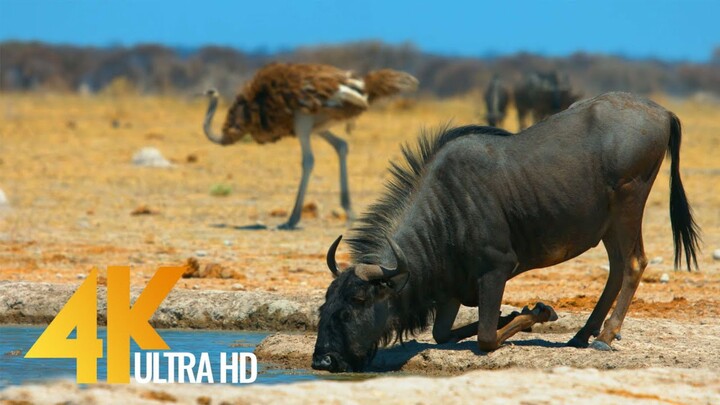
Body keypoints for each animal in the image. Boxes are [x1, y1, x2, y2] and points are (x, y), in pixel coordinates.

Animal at [201, 62, 416, 229]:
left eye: (209, 91)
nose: (202, 92)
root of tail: (362, 86)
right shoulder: (311, 127)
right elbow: (338, 146)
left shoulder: (301, 121)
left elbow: (308, 161)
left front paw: (291, 221)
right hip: (319, 125)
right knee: (342, 145)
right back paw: (349, 211)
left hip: (308, 118)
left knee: (316, 156)